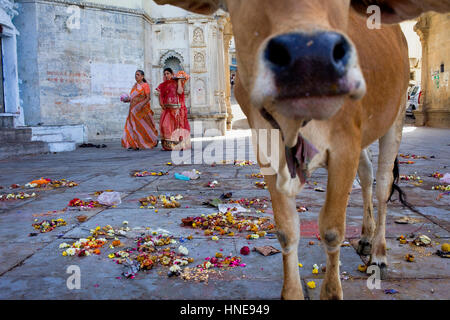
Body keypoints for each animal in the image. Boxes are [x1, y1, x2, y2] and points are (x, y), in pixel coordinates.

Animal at [155, 0, 450, 300]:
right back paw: (366, 237)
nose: (309, 58)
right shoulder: (268, 152)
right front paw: (292, 292)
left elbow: (332, 229)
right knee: (367, 177)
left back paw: (378, 254)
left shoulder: (345, 147)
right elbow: (286, 229)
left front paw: (331, 291)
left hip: (396, 117)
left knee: (383, 187)